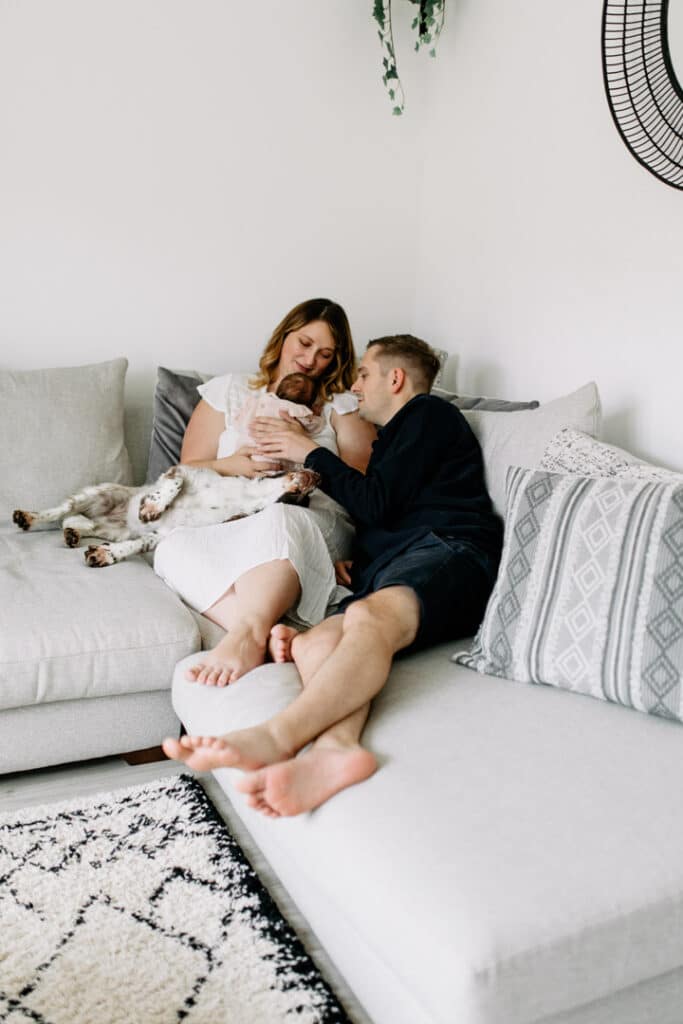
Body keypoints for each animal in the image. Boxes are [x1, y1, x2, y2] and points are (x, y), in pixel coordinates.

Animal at [12, 466, 317, 569]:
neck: (246, 496)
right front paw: (151, 507)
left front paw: (106, 555)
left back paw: (73, 534)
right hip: (97, 494)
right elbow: (174, 485)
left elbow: (135, 546)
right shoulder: (181, 470)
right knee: (60, 511)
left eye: (303, 500)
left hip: (112, 529)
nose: (319, 476)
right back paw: (27, 517)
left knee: (78, 523)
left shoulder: (163, 536)